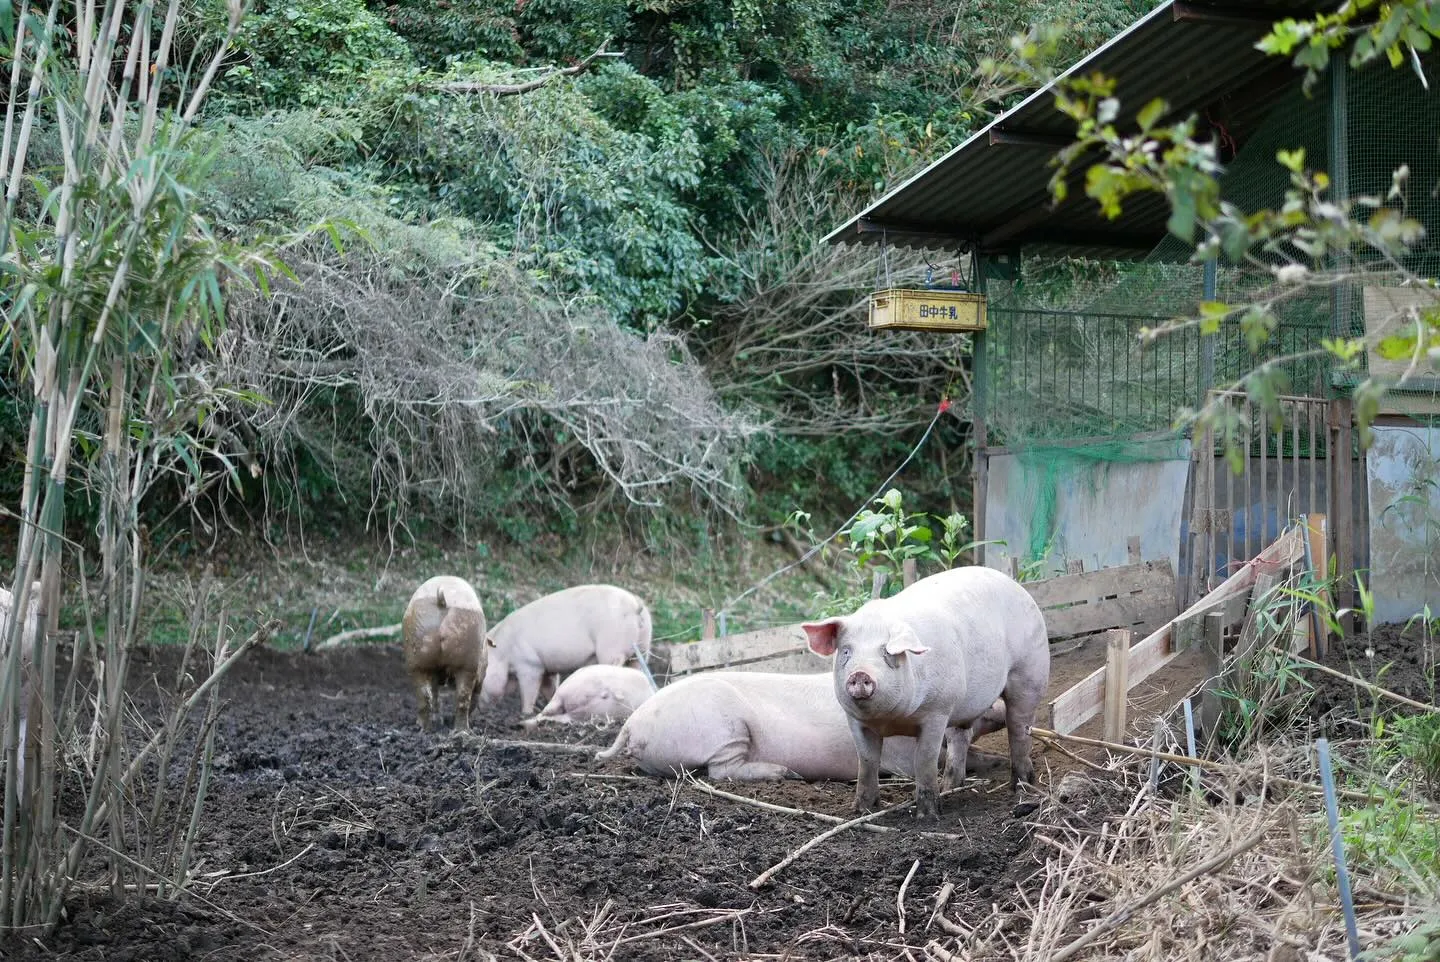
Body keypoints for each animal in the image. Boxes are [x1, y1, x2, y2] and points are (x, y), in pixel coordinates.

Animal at [403, 578, 492, 728]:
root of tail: (441, 600)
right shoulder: (479, 676)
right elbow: (475, 697)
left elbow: (434, 692)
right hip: (468, 655)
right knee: (464, 697)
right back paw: (463, 730)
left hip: (416, 653)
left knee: (424, 694)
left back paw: (424, 727)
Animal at [480, 581, 650, 717]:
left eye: (483, 670)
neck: (504, 653)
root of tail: (635, 606)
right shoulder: (547, 669)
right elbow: (550, 688)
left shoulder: (530, 665)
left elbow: (528, 691)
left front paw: (525, 713)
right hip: (643, 647)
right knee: (639, 667)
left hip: (612, 647)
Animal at [800, 567, 1048, 823]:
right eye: (847, 652)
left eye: (887, 652)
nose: (860, 673)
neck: (889, 720)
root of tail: (1015, 584)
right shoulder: (856, 720)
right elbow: (867, 761)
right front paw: (861, 811)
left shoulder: (936, 712)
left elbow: (924, 759)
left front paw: (927, 816)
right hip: (960, 705)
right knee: (960, 738)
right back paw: (950, 787)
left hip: (1029, 670)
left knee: (1019, 728)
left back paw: (1021, 787)